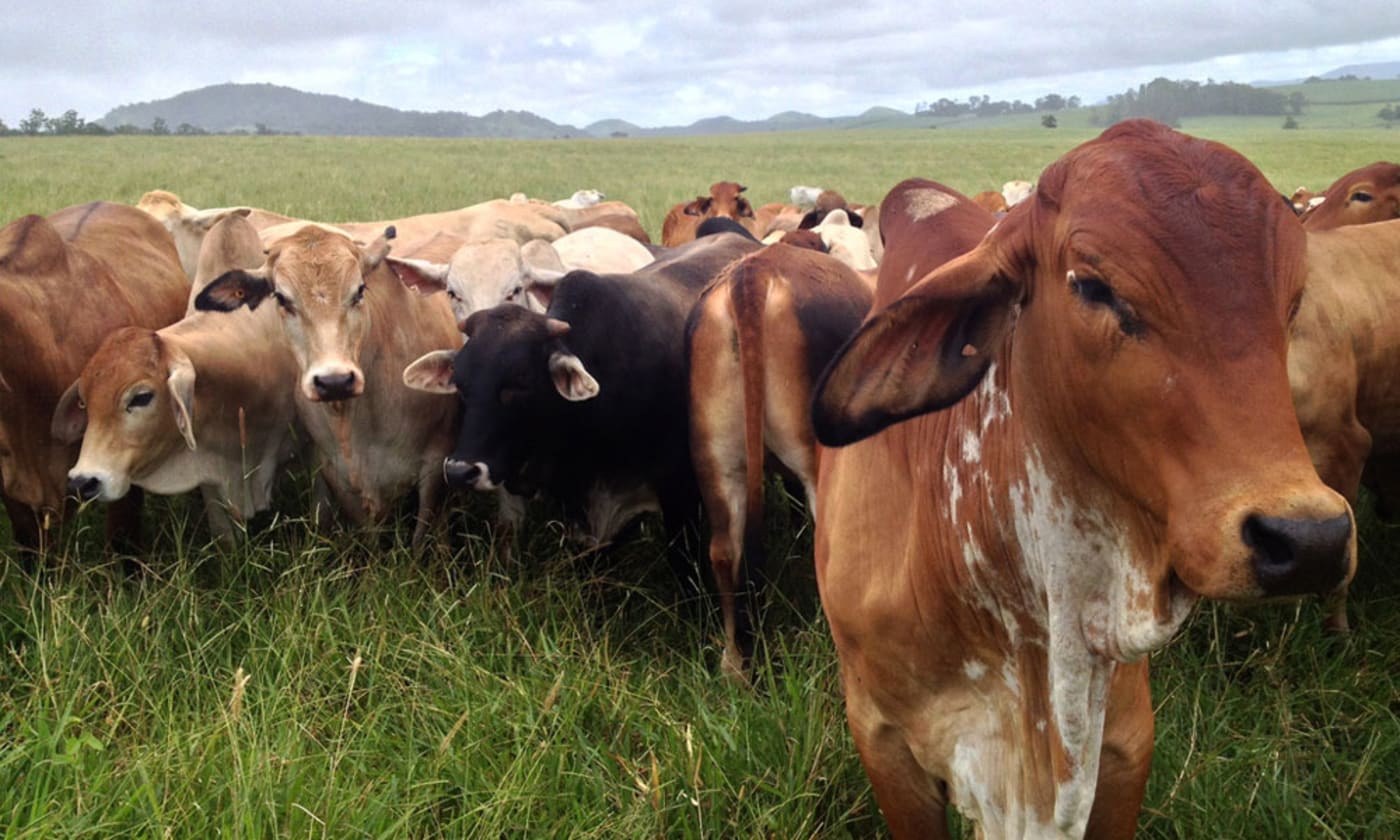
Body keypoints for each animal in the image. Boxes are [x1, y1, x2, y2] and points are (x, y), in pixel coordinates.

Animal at [194, 222, 456, 546]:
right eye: (281, 298)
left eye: (359, 291)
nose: (335, 381)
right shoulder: (337, 474)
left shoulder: (435, 468)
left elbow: (423, 537)